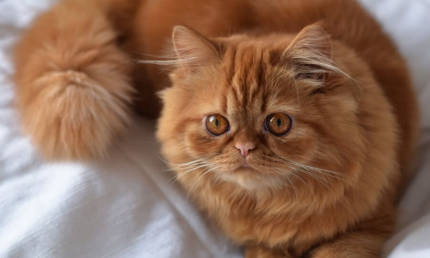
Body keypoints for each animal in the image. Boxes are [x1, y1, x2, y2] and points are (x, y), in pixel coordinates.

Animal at [13, 0, 416, 258]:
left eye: (278, 123)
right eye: (217, 124)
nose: (244, 149)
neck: (274, 206)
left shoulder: (365, 228)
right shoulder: (259, 245)